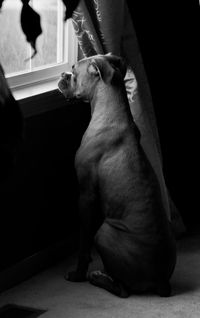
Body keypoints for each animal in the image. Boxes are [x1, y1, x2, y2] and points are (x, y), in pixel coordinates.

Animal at [57, 52, 177, 298]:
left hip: (103, 232)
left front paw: (77, 274)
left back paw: (98, 277)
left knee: (123, 290)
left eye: (73, 69)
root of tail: (161, 281)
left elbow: (83, 244)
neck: (109, 110)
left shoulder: (86, 195)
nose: (62, 74)